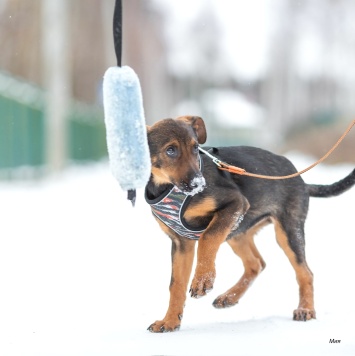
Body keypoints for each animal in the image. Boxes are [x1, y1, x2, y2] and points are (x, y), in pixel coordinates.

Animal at [145, 115, 355, 332]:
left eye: (195, 148)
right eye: (170, 150)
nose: (199, 185)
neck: (167, 187)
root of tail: (302, 181)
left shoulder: (235, 203)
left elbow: (207, 238)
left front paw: (203, 280)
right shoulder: (181, 243)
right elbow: (176, 284)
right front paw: (170, 321)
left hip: (286, 231)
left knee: (305, 272)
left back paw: (305, 309)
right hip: (237, 231)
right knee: (256, 263)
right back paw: (229, 297)